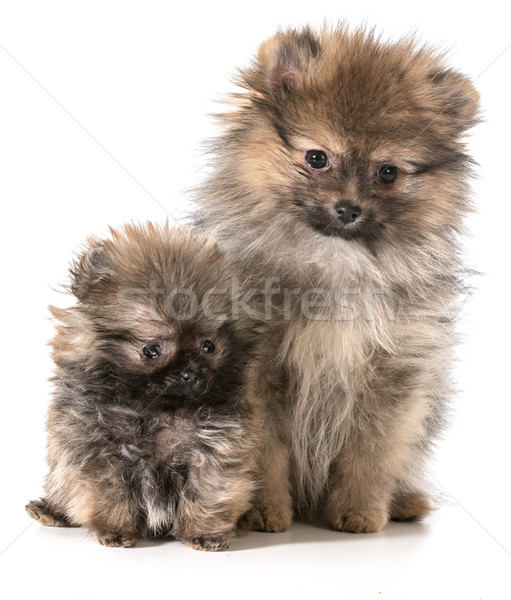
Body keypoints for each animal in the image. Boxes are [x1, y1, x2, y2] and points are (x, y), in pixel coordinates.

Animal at [26, 223, 262, 552]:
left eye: (208, 346)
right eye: (151, 350)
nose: (190, 374)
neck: (159, 410)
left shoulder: (214, 449)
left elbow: (209, 493)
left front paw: (205, 533)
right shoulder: (101, 451)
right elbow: (110, 494)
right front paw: (115, 530)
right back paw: (50, 510)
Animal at [195, 27, 480, 536]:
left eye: (387, 172)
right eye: (316, 157)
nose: (348, 208)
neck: (335, 261)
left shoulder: (392, 373)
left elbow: (372, 453)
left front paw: (361, 511)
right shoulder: (259, 370)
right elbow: (264, 450)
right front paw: (263, 510)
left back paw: (404, 501)